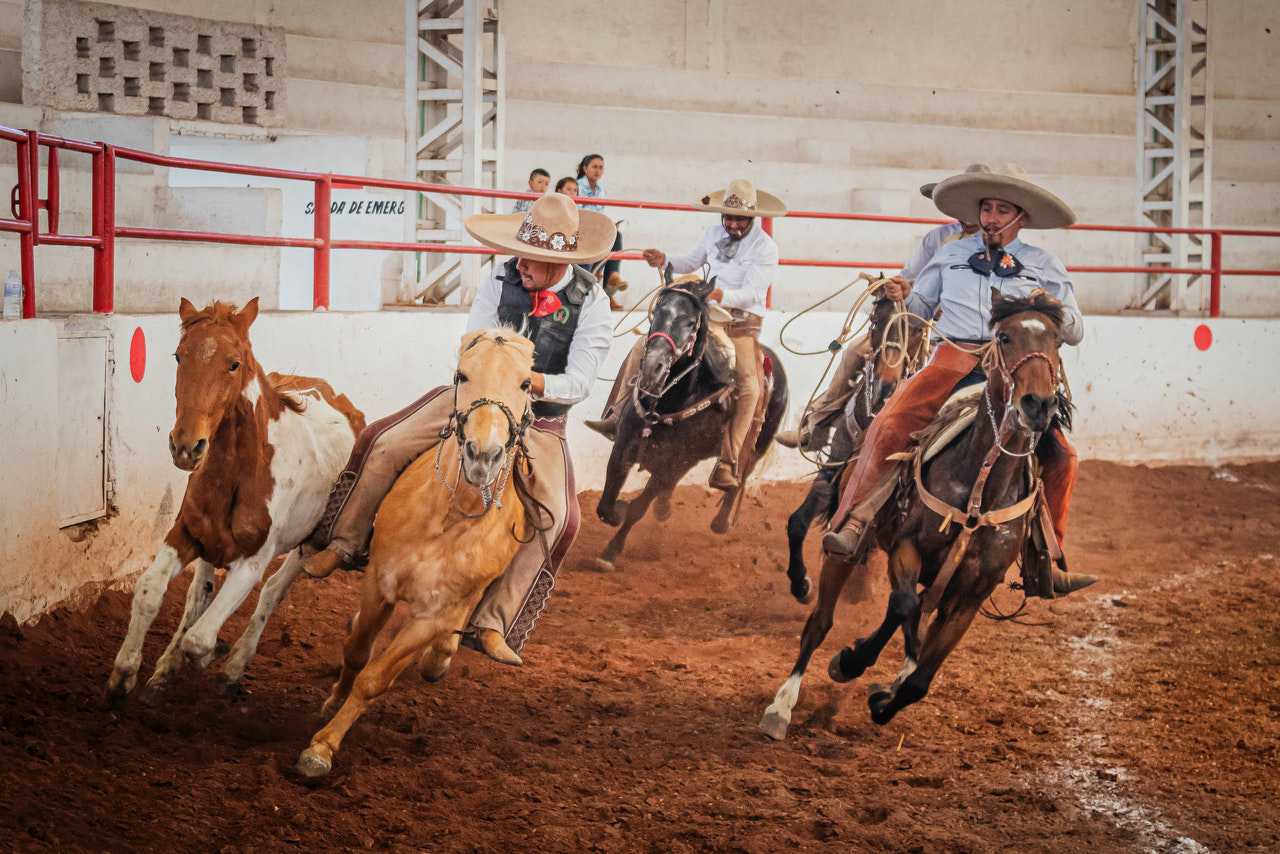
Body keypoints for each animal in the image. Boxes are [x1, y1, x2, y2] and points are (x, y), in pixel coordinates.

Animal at [104, 297, 366, 706]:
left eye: (234, 363)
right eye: (179, 356)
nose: (186, 445)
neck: (240, 474)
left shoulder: (253, 560)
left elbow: (200, 638)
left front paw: (206, 655)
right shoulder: (185, 534)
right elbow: (150, 592)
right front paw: (125, 675)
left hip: (308, 546)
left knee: (272, 592)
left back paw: (232, 666)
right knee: (199, 593)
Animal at [296, 330, 537, 783]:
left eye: (526, 383)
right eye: (463, 374)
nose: (483, 455)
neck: (448, 519)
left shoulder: (432, 616)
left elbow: (375, 678)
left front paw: (322, 747)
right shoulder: (380, 584)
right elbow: (357, 651)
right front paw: (332, 703)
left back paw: (445, 656)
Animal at [593, 273, 783, 571]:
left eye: (691, 322)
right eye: (657, 312)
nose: (653, 368)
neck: (672, 399)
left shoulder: (672, 464)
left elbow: (637, 508)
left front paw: (611, 551)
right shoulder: (623, 446)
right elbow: (606, 503)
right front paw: (619, 512)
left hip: (754, 447)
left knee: (740, 476)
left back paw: (721, 520)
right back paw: (665, 508)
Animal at [783, 297, 926, 604]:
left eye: (917, 330)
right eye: (876, 321)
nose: (886, 385)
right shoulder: (835, 465)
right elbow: (798, 521)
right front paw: (801, 585)